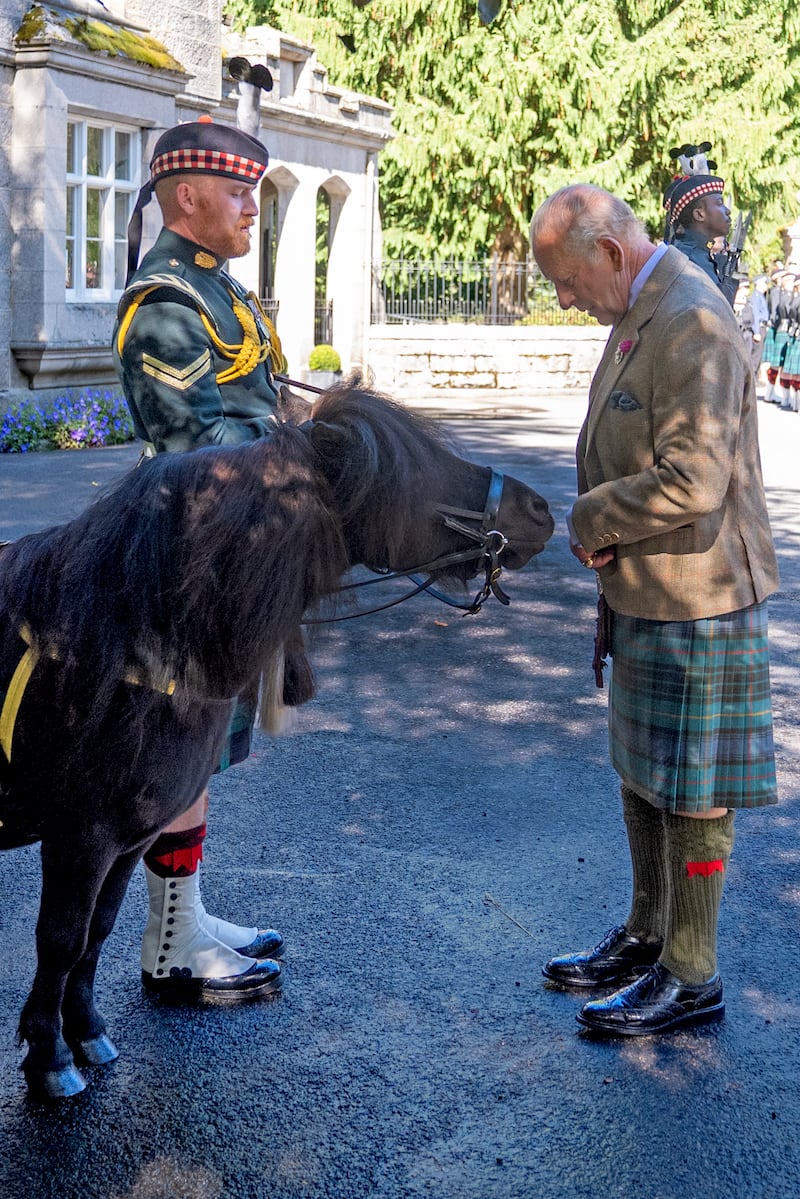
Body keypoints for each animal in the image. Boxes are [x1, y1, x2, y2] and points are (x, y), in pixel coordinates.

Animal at [0, 380, 553, 1101]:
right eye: (413, 466)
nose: (540, 509)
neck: (118, 638)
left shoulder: (127, 838)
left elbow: (98, 930)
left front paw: (86, 1030)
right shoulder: (80, 837)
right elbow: (62, 941)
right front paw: (49, 1055)